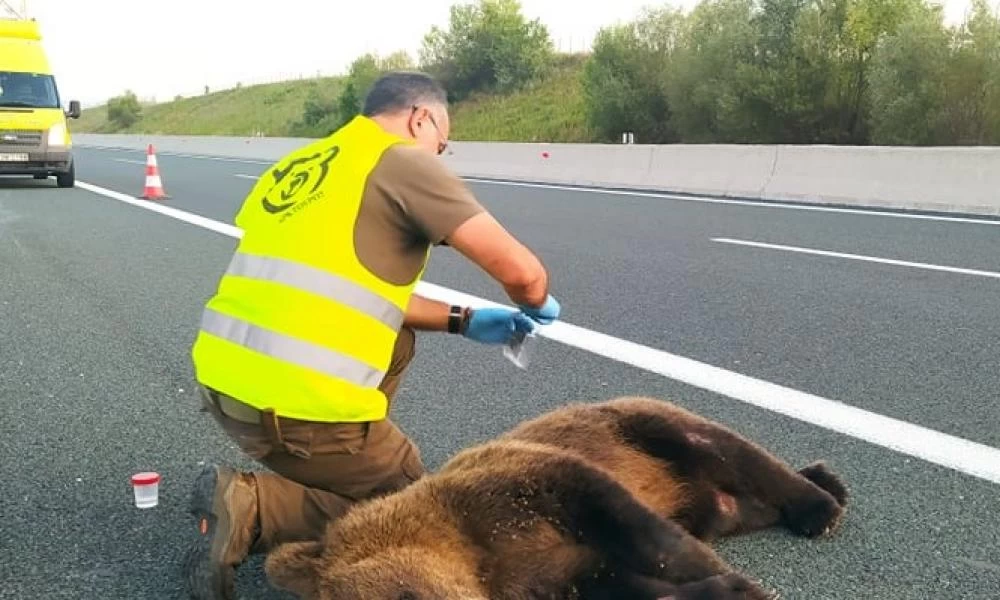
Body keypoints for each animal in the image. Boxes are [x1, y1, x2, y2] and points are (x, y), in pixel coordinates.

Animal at [262, 396, 848, 596]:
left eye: (407, 597)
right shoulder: (545, 574)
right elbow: (620, 583)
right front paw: (723, 589)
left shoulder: (519, 490)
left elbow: (638, 529)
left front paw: (740, 583)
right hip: (710, 502)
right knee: (739, 501)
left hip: (640, 426)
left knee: (728, 450)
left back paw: (821, 501)